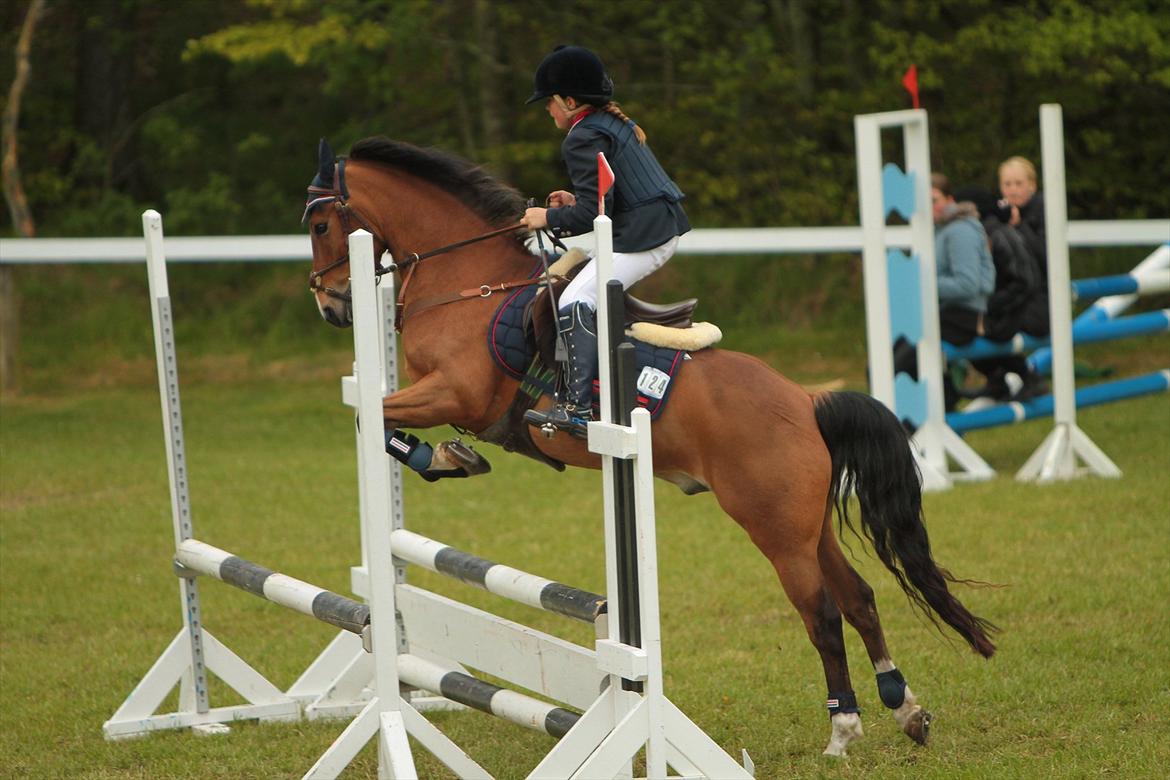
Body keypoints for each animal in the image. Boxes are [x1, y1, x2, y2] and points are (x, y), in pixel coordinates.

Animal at [301, 134, 996, 757]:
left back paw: (843, 730)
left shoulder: (456, 394)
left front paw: (443, 457)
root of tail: (806, 402)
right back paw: (905, 710)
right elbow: (369, 416)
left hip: (774, 528)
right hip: (807, 524)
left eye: (321, 223)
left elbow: (372, 418)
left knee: (822, 614)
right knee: (860, 599)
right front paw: (450, 457)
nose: (332, 306)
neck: (468, 282)